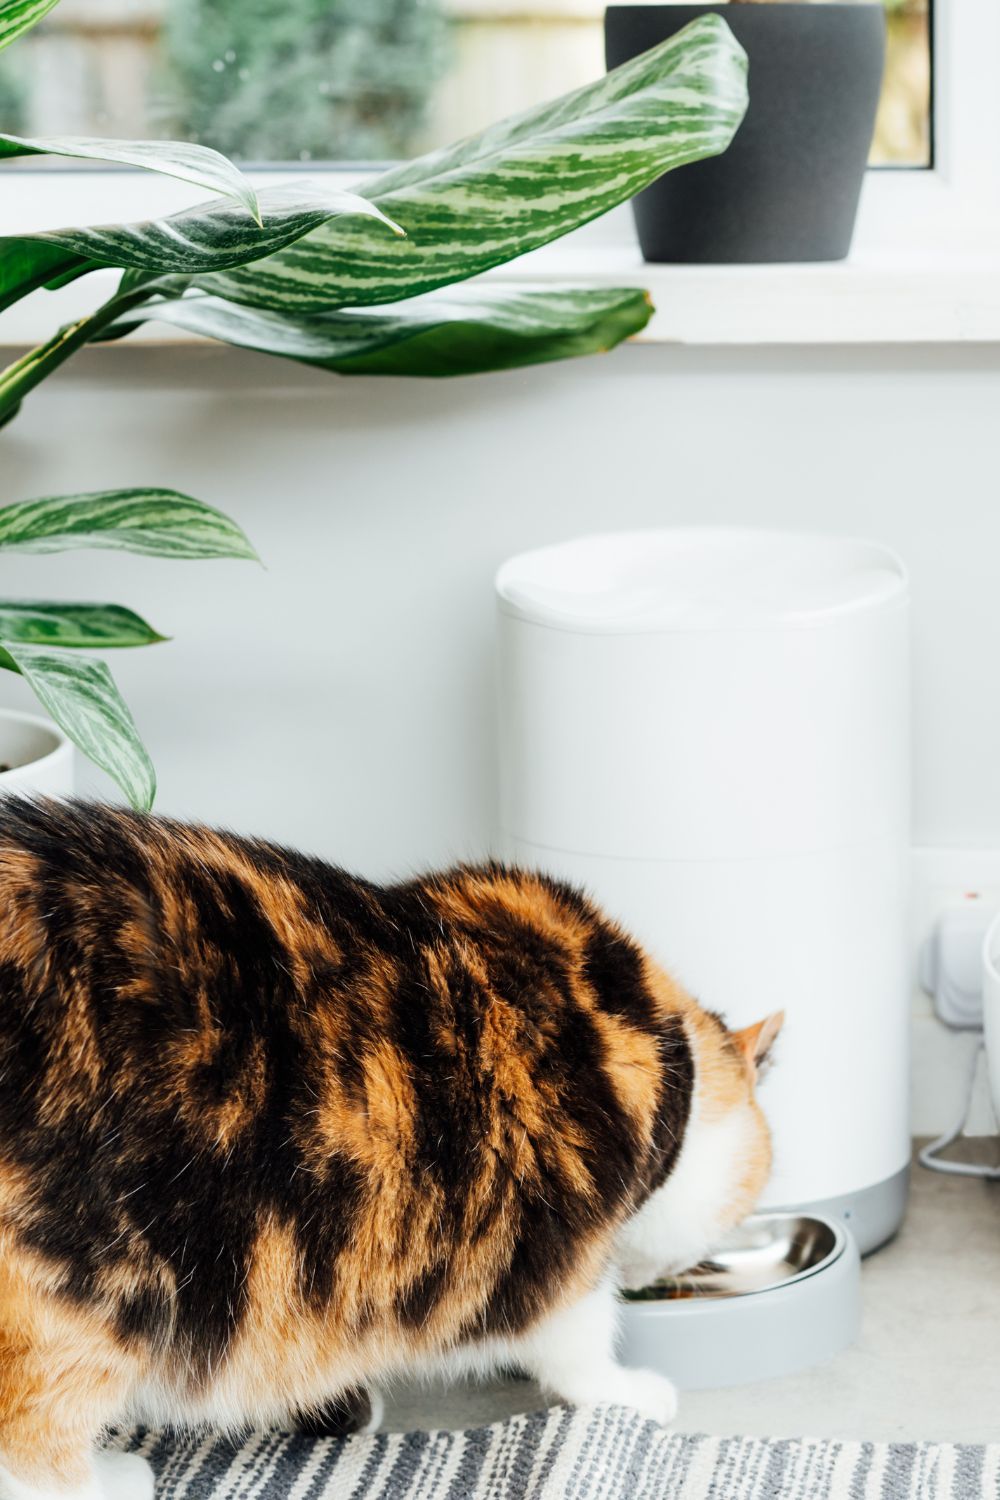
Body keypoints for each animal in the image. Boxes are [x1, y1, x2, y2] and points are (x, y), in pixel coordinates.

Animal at [0, 804, 779, 1494]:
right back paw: (109, 1480)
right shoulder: (563, 1254)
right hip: (85, 1295)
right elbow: (579, 1340)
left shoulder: (307, 1275)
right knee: (32, 1443)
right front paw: (629, 1392)